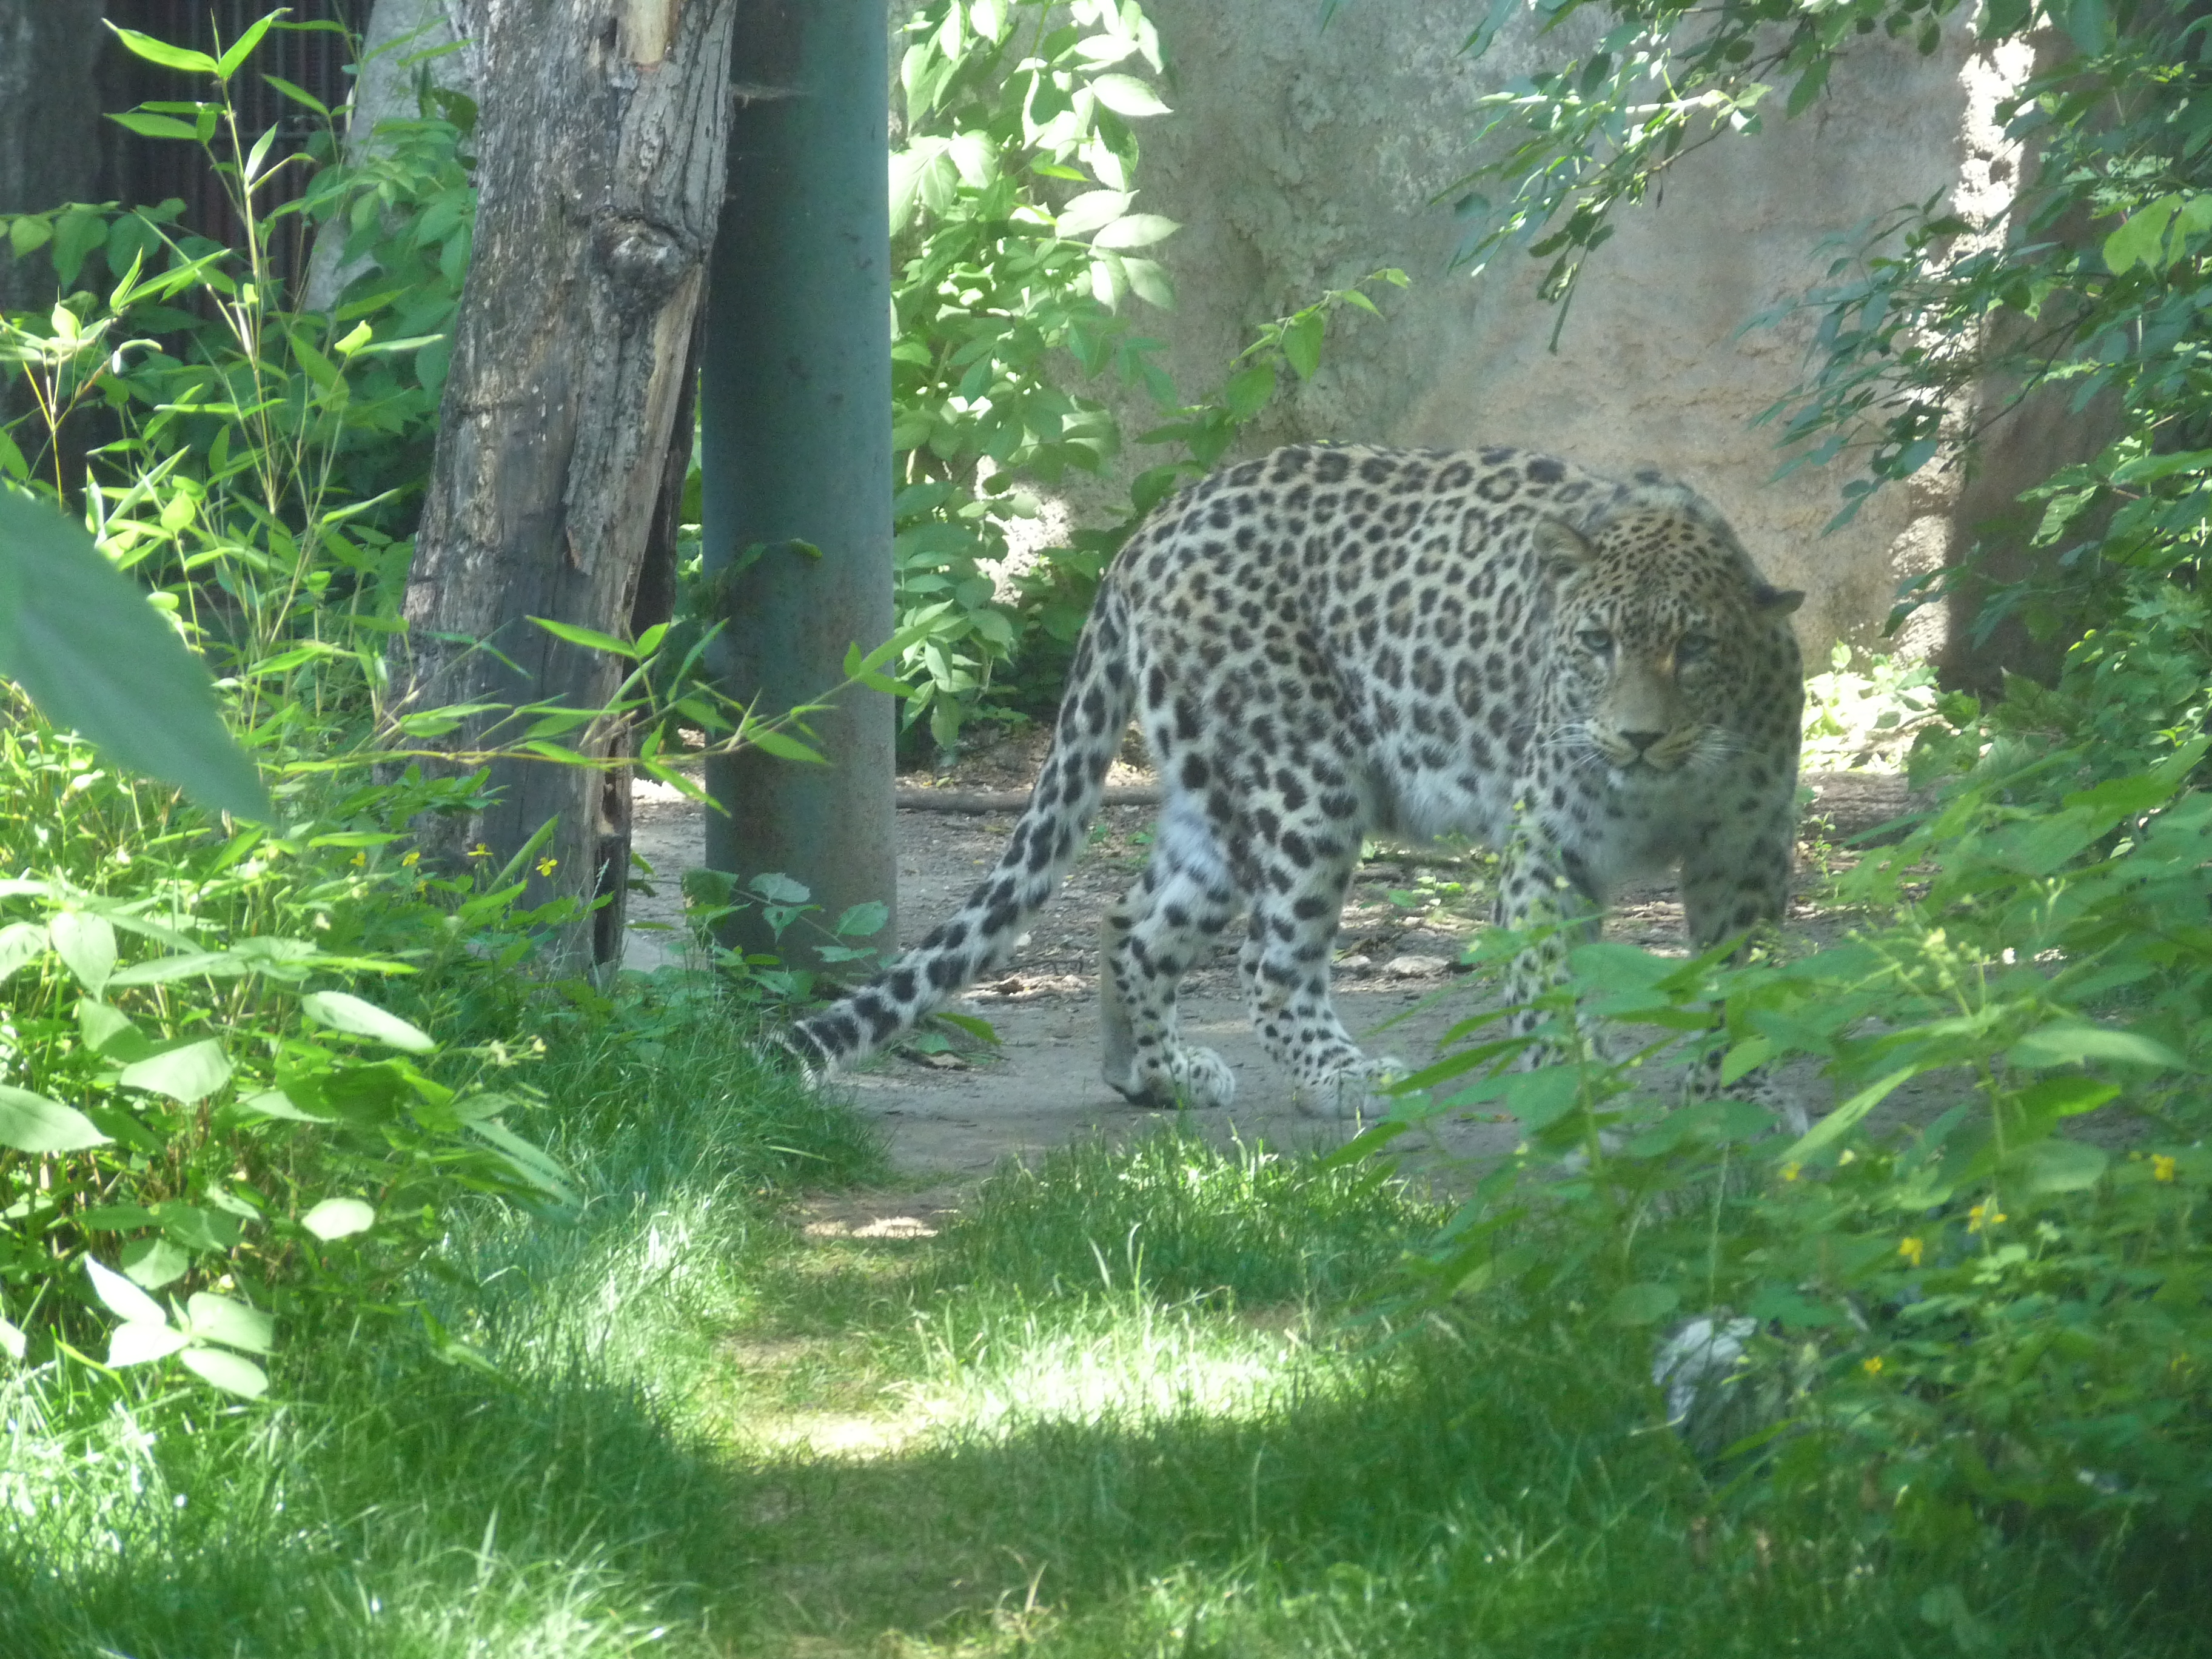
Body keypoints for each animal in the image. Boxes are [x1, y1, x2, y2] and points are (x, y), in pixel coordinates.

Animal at [787, 442, 1805, 1119]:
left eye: (1695, 650)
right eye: (1596, 644)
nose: (1635, 740)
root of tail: (1151, 528)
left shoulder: (1746, 854)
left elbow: (1745, 978)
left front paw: (1741, 1090)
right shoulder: (1548, 848)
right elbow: (1549, 977)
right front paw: (1578, 1086)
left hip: (1215, 793)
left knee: (1137, 922)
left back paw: (1155, 1074)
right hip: (1303, 776)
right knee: (1268, 959)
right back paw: (1341, 1077)